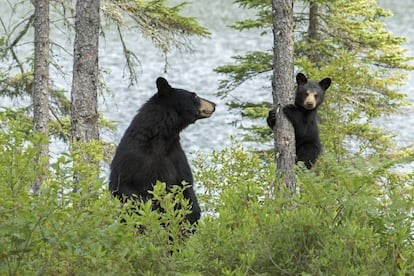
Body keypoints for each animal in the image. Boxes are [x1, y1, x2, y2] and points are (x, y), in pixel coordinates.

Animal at [109, 77, 217, 224]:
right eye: (194, 95)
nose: (214, 104)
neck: (161, 139)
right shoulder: (132, 155)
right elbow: (122, 185)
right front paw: (154, 209)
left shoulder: (175, 155)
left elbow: (186, 184)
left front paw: (192, 213)